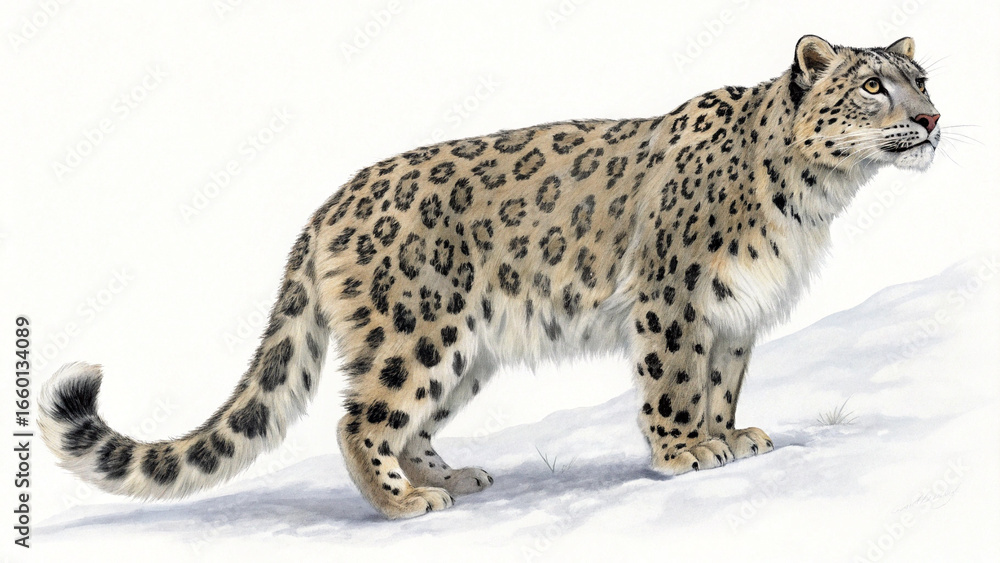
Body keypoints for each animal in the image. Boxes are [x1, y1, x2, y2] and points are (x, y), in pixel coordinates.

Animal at [39, 35, 940, 519]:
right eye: (872, 84)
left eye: (921, 78)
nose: (932, 117)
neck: (812, 200)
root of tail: (327, 208)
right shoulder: (674, 298)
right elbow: (674, 382)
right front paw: (685, 451)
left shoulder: (735, 315)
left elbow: (719, 383)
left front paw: (732, 436)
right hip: (418, 328)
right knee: (360, 417)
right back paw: (405, 502)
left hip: (467, 350)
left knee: (409, 421)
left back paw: (452, 476)